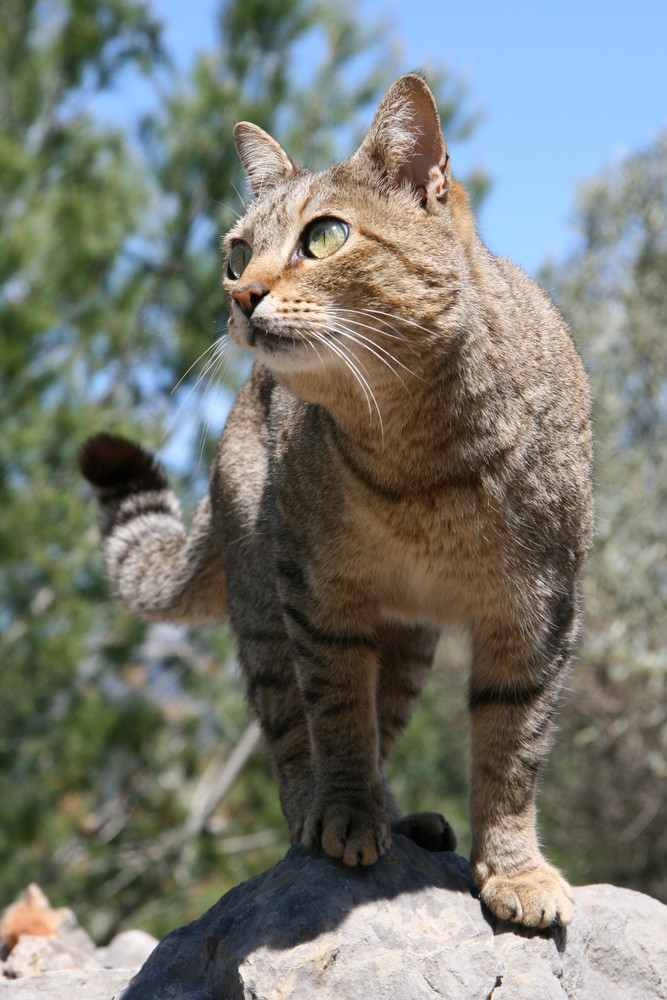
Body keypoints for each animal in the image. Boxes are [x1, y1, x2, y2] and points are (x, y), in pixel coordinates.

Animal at [78, 74, 596, 924]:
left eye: (322, 237)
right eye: (237, 252)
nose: (242, 295)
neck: (421, 460)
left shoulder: (538, 610)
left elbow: (511, 745)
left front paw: (514, 871)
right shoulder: (321, 598)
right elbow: (339, 717)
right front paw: (345, 816)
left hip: (410, 643)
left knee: (387, 721)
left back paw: (402, 817)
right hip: (265, 607)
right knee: (294, 732)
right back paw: (323, 815)